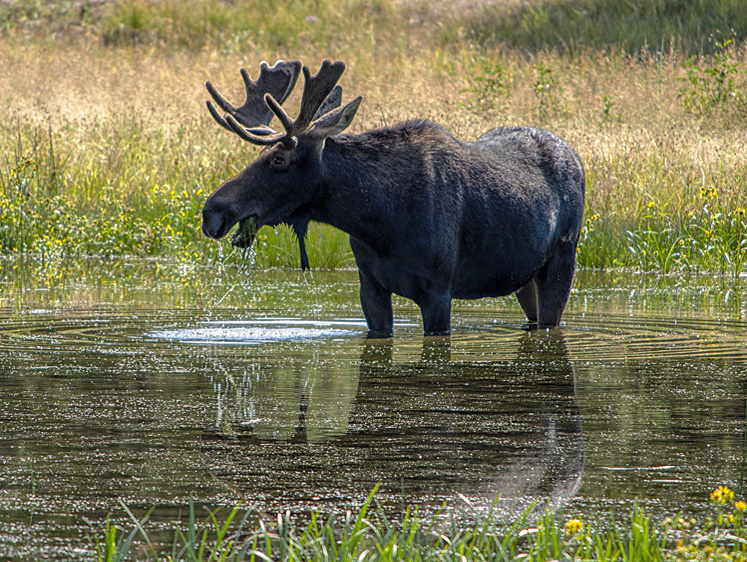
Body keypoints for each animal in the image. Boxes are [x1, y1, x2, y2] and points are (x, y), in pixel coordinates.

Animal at [202, 59, 588, 334]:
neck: (378, 220)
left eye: (279, 159)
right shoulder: (370, 286)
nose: (212, 211)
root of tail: (576, 158)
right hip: (524, 276)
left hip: (563, 259)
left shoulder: (439, 291)